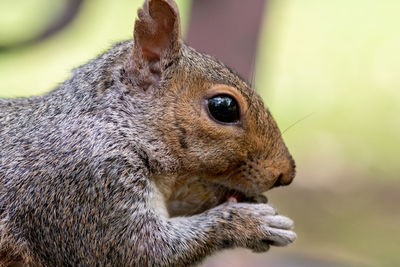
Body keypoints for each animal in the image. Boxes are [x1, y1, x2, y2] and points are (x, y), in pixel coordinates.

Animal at [0, 0, 296, 266]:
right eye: (224, 107)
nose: (286, 173)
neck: (117, 125)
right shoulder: (85, 187)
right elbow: (141, 250)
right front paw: (252, 222)